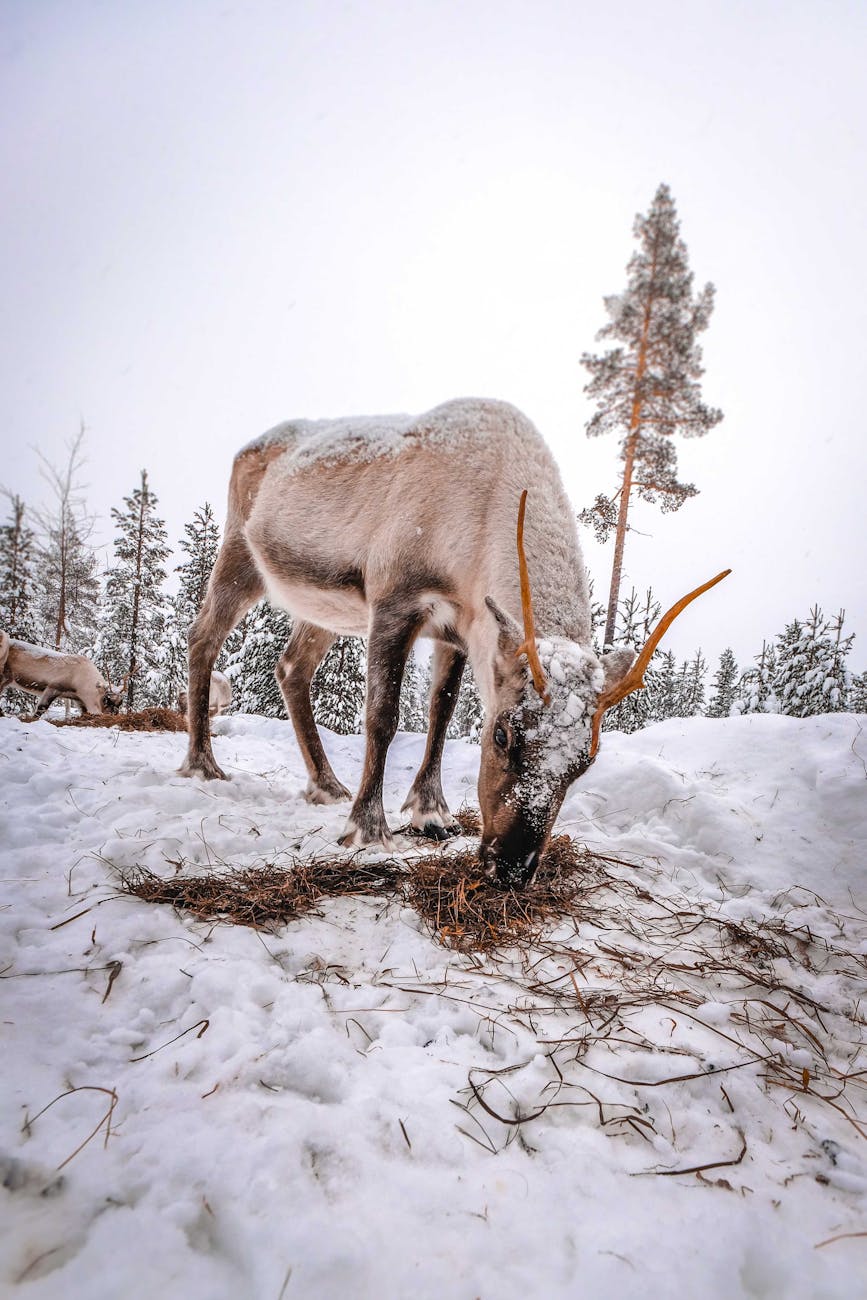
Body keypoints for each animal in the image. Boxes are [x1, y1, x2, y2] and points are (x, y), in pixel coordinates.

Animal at [180, 397, 729, 888]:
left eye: (586, 760)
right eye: (503, 734)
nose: (511, 867)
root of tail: (250, 446)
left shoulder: (460, 631)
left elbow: (440, 713)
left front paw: (431, 813)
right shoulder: (395, 599)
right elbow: (383, 716)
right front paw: (369, 829)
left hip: (322, 608)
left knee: (292, 666)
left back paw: (326, 784)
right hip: (239, 553)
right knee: (201, 637)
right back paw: (203, 763)